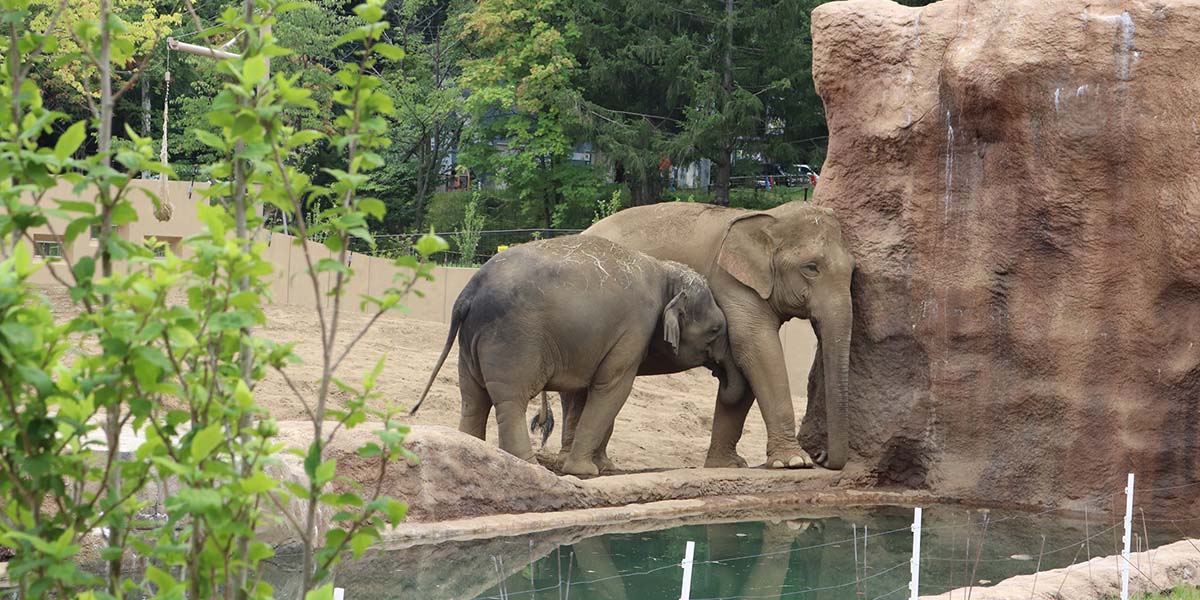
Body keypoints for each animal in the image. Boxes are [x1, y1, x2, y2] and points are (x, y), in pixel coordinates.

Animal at [408, 234, 734, 472]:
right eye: (716, 330)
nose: (723, 372)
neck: (665, 272)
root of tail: (467, 294)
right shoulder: (634, 329)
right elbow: (613, 389)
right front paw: (585, 472)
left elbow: (583, 393)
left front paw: (603, 468)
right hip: (513, 340)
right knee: (510, 401)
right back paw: (529, 465)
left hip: (469, 344)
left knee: (472, 398)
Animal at [580, 204, 854, 470]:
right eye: (811, 268)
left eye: (853, 270)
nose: (821, 456)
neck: (769, 217)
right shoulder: (731, 284)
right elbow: (758, 350)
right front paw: (795, 462)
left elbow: (750, 363)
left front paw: (728, 465)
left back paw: (604, 465)